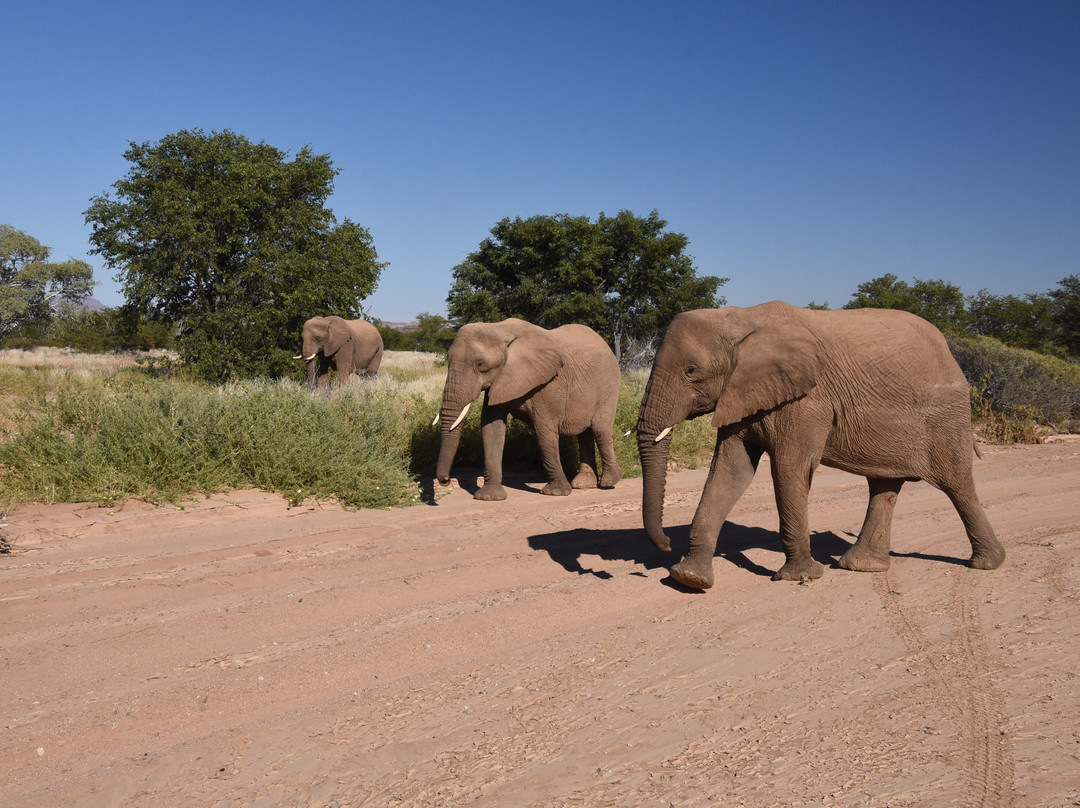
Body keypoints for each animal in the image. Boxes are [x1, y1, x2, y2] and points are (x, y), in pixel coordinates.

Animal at [435, 318, 623, 500]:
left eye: (480, 364)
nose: (445, 480)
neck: (500, 328)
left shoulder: (549, 383)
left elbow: (544, 429)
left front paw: (556, 493)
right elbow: (491, 428)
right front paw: (489, 497)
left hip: (609, 385)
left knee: (599, 429)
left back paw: (609, 481)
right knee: (584, 434)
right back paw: (583, 484)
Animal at [636, 301, 1005, 591]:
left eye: (691, 371)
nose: (666, 545)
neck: (740, 318)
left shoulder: (807, 402)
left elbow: (789, 469)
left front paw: (800, 577)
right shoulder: (741, 394)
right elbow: (730, 472)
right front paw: (689, 579)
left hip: (946, 417)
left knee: (956, 484)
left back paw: (987, 564)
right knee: (884, 485)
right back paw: (860, 567)